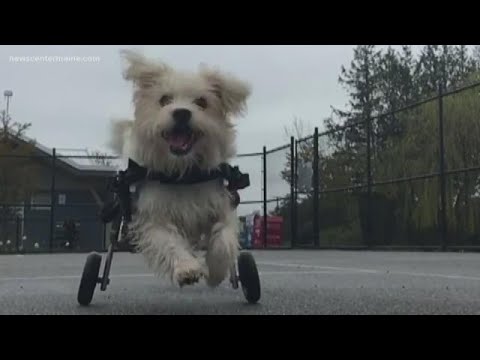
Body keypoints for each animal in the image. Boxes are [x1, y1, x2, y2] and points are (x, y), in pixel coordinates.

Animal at [108, 50, 251, 288]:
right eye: (164, 99)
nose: (182, 113)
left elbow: (223, 239)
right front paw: (187, 269)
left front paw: (215, 273)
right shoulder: (153, 217)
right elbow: (168, 242)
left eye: (202, 102)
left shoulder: (221, 208)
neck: (183, 172)